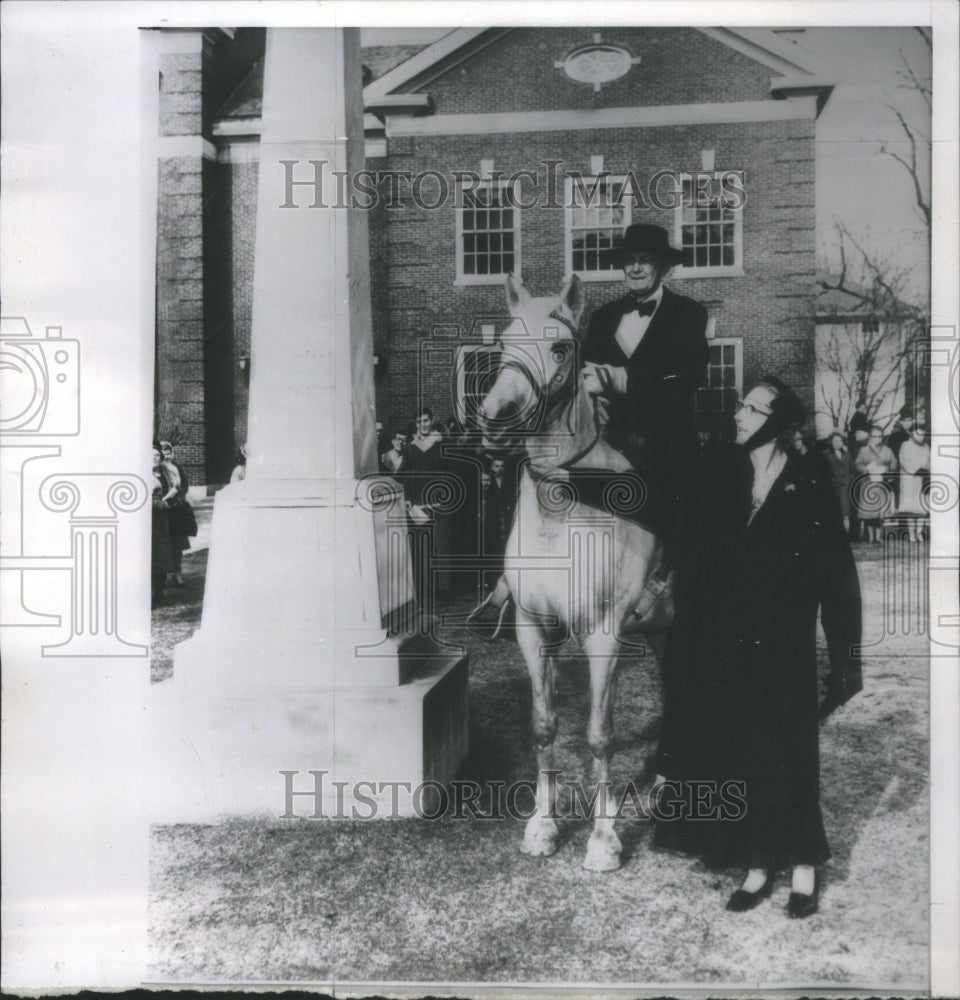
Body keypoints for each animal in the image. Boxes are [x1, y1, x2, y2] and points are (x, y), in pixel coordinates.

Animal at [476, 276, 672, 876]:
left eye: (561, 349)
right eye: (504, 344)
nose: (495, 419)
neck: (564, 507)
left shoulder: (604, 638)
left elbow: (600, 736)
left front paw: (604, 840)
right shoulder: (534, 630)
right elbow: (544, 728)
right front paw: (542, 826)